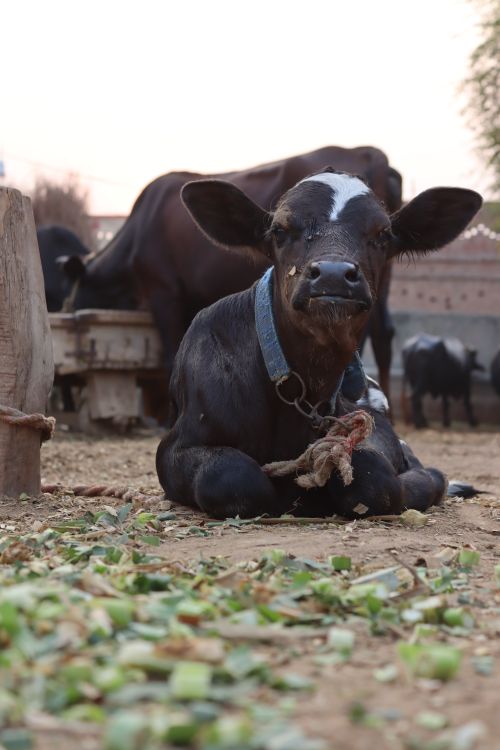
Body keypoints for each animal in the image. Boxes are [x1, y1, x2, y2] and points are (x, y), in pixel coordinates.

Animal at [58, 146, 402, 397]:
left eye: (72, 302)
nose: (71, 385)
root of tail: (369, 152)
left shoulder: (163, 291)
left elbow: (171, 353)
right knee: (384, 334)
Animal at [155, 169, 481, 519]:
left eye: (383, 234)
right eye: (280, 230)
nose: (333, 274)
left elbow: (376, 479)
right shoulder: (176, 445)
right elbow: (232, 477)